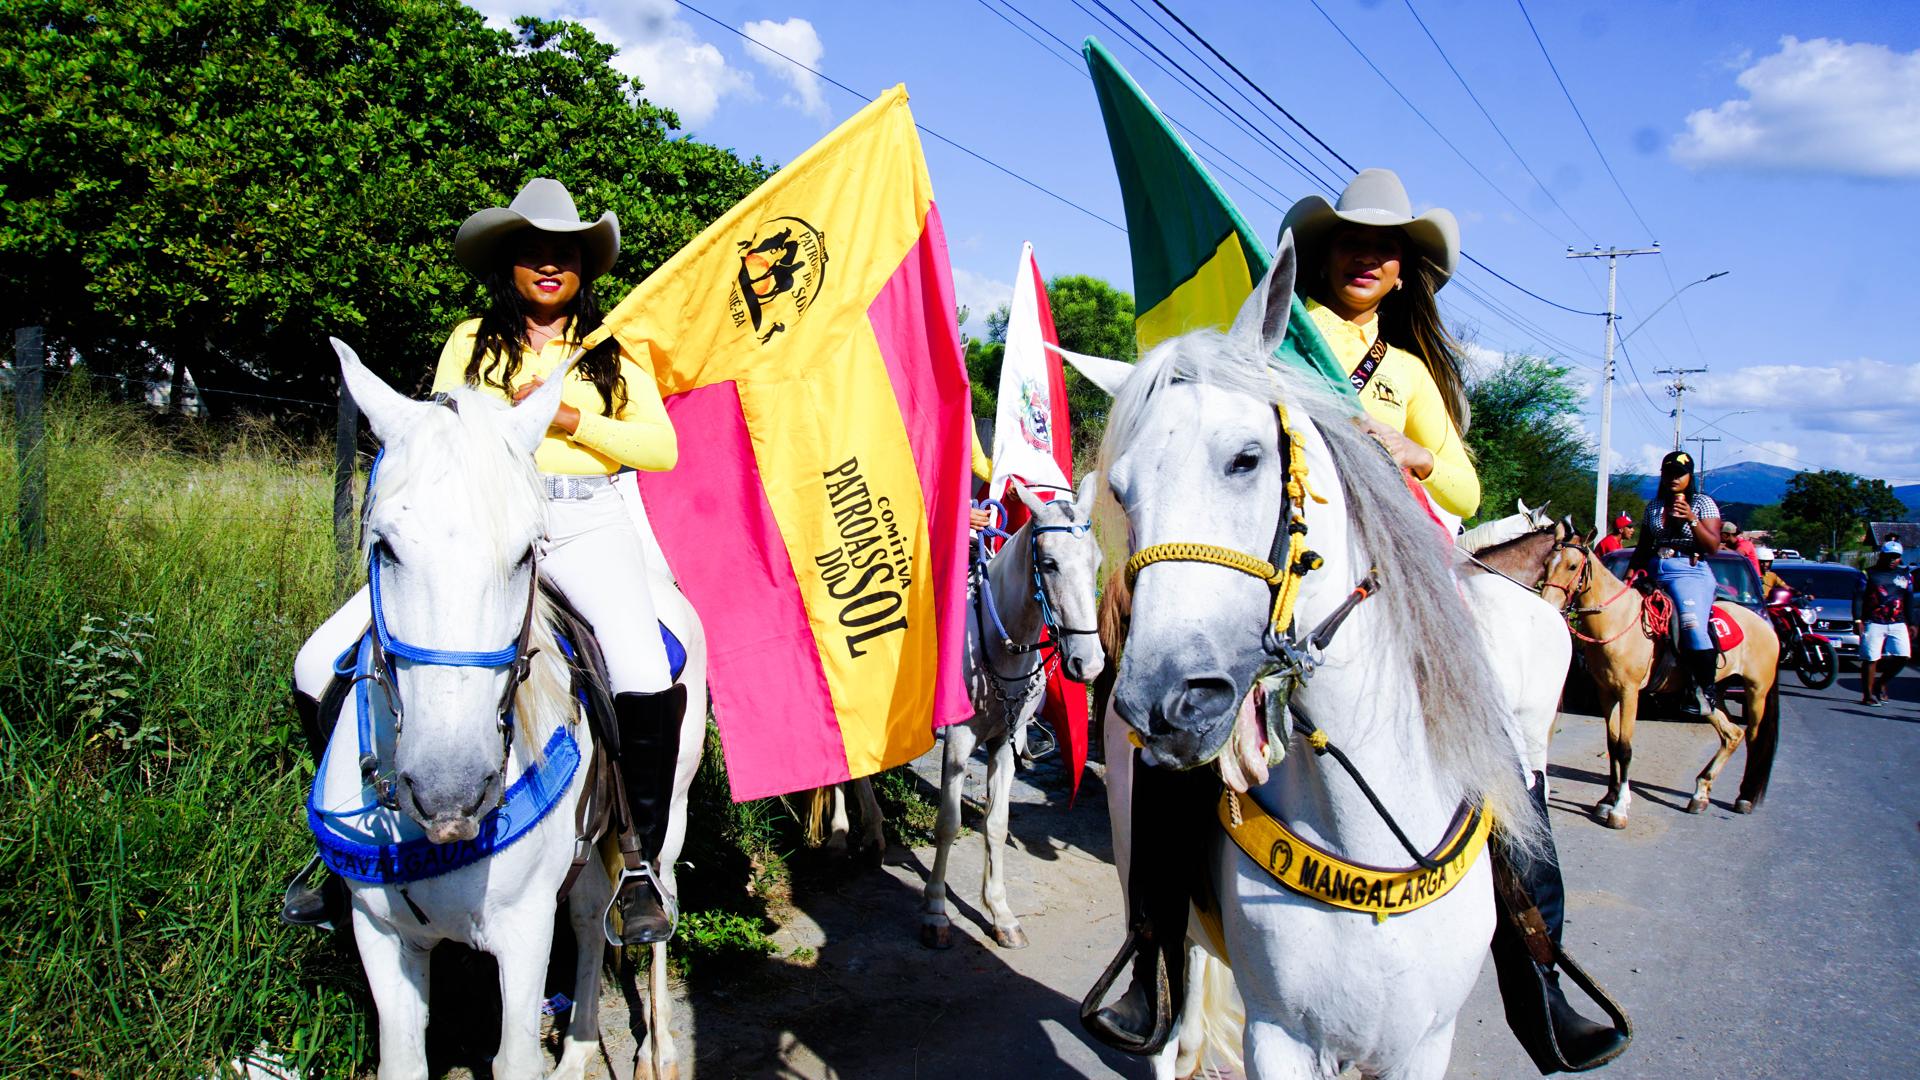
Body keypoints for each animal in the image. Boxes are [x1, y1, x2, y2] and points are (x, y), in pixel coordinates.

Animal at [319, 341, 707, 1080]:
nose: (449, 794)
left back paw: (659, 1051)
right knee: (588, 918)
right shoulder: (382, 935)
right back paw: (580, 1049)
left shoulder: (522, 934)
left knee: (657, 909)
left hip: (669, 816)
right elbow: (404, 1061)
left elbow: (514, 1057)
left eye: (527, 552)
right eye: (384, 546)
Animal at [920, 476, 1105, 949]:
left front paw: (1001, 914)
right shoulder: (959, 742)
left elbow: (997, 825)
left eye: (1095, 561)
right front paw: (936, 911)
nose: (1089, 664)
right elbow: (948, 823)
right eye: (1050, 563)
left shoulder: (1003, 742)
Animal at [1083, 241, 1543, 1079]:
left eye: (1246, 458)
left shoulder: (1423, 1045)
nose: (1163, 703)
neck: (1368, 841)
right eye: (1121, 493)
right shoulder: (1281, 1037)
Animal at [1538, 536, 1780, 829]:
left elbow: (1625, 748)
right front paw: (1607, 800)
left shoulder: (1630, 693)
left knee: (1754, 739)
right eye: (1546, 564)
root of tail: (1765, 626)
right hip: (1711, 696)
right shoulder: (1606, 692)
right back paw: (1700, 794)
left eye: (1573, 566)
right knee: (1732, 734)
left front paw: (1619, 809)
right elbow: (1612, 744)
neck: (1616, 620)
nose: (1547, 606)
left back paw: (1744, 797)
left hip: (1756, 691)